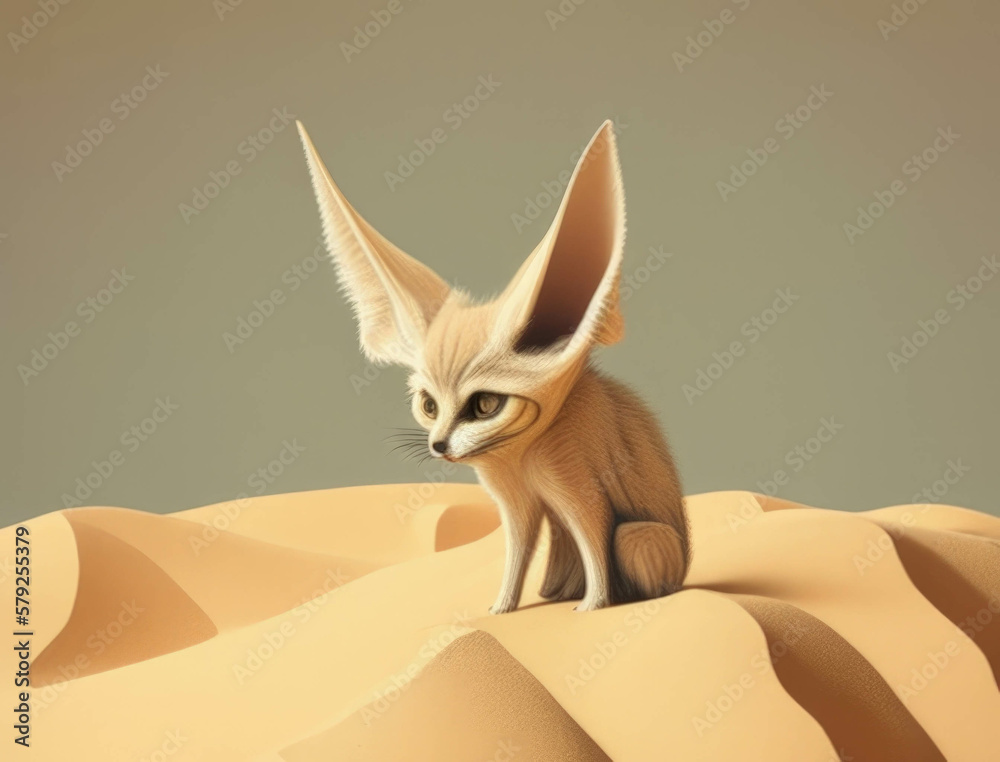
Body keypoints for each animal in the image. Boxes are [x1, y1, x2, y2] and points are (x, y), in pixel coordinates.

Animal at [296, 119, 690, 613]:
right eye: (428, 405)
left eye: (485, 405)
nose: (439, 445)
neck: (522, 455)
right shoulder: (517, 502)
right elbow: (516, 556)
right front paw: (502, 609)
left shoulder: (582, 491)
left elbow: (594, 544)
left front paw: (594, 607)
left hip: (638, 536)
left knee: (627, 555)